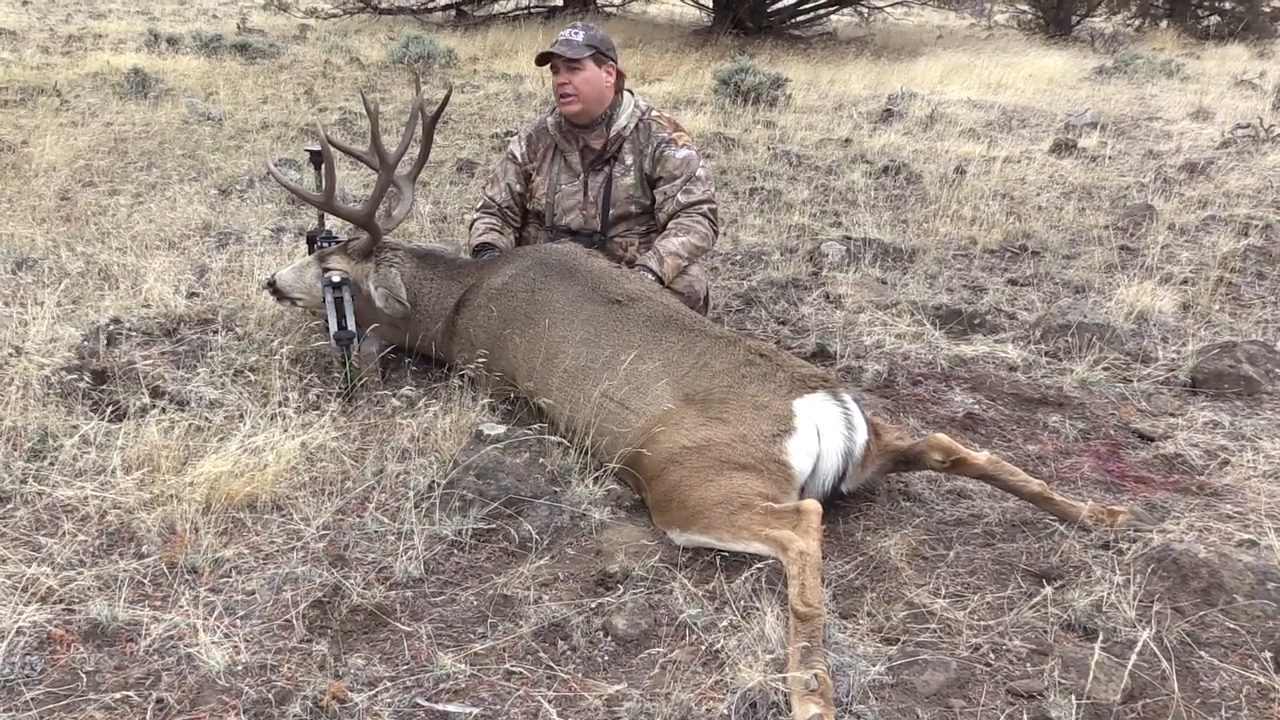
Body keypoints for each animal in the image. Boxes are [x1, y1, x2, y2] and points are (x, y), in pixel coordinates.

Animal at [262, 76, 1157, 720]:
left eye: (331, 267)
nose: (272, 282)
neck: (459, 303)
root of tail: (823, 408)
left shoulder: (486, 369)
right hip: (877, 441)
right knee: (947, 444)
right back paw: (1103, 515)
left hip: (685, 479)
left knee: (802, 524)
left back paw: (810, 699)